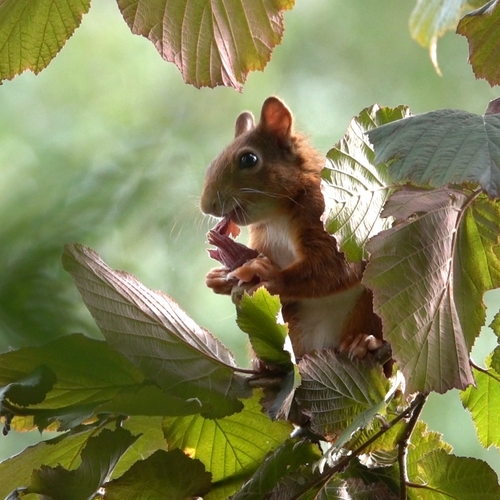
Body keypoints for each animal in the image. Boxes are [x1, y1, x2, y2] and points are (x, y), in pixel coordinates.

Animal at [199, 96, 382, 360]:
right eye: (212, 163)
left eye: (248, 159)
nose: (207, 206)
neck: (276, 216)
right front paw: (220, 277)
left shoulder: (327, 220)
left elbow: (335, 268)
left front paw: (271, 276)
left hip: (370, 307)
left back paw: (363, 343)